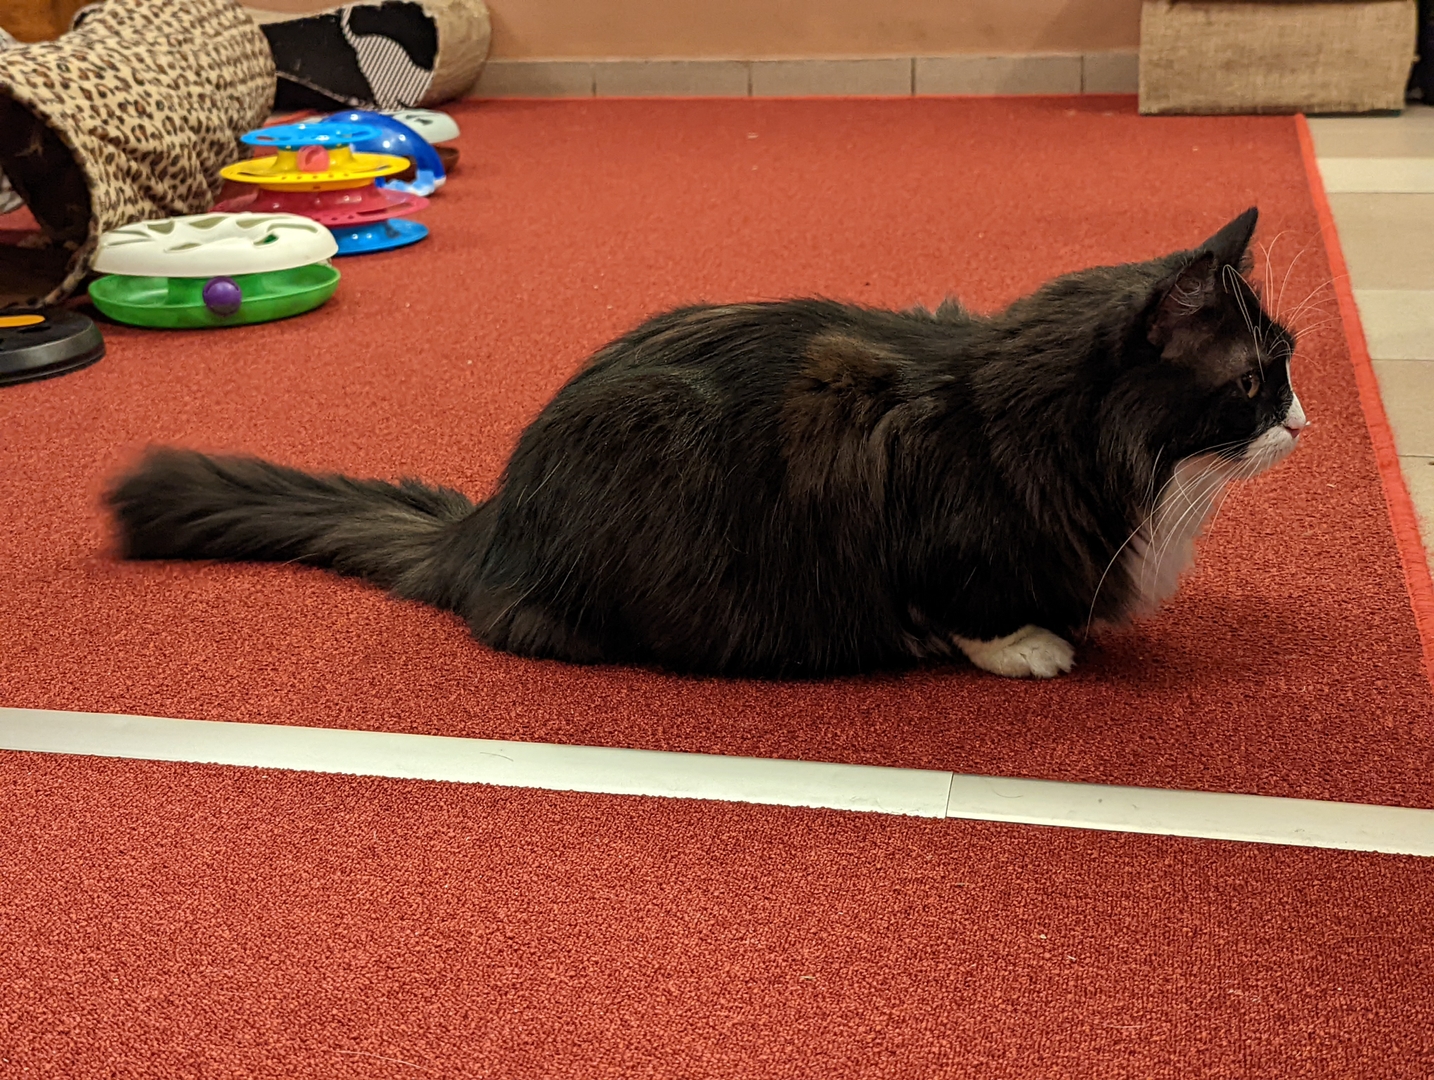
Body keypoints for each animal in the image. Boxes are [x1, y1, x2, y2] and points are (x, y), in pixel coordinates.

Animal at [106, 206, 1306, 680]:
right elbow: (964, 604)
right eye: (1252, 383)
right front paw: (1027, 646)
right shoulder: (917, 504)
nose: (1302, 421)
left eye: (1289, 361)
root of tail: (488, 522)